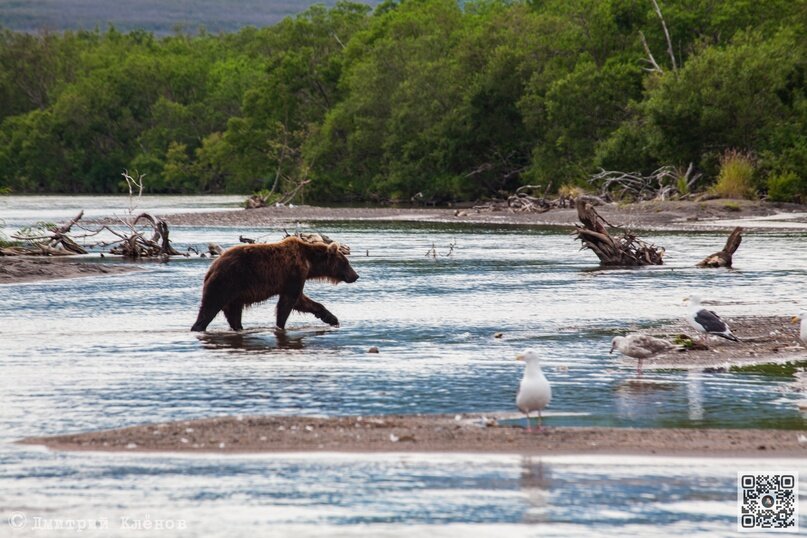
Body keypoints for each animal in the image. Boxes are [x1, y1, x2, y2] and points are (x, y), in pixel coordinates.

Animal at [191, 236, 358, 330]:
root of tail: (212, 268)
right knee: (209, 308)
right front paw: (280, 325)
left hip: (234, 295)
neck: (309, 263)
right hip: (226, 282)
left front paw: (332, 318)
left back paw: (239, 327)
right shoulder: (294, 273)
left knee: (234, 314)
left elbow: (302, 301)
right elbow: (288, 302)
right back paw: (198, 327)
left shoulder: (293, 279)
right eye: (346, 263)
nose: (355, 276)